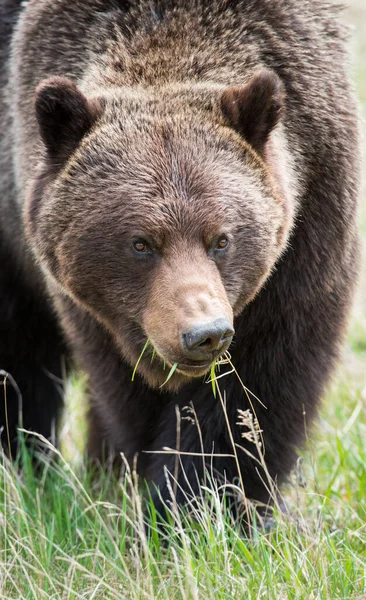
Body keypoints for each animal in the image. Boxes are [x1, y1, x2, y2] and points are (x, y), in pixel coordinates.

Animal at [0, 0, 360, 516]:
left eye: (222, 239)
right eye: (140, 243)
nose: (204, 333)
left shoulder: (311, 218)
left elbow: (258, 384)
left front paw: (210, 499)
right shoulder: (106, 315)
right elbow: (128, 390)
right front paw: (169, 497)